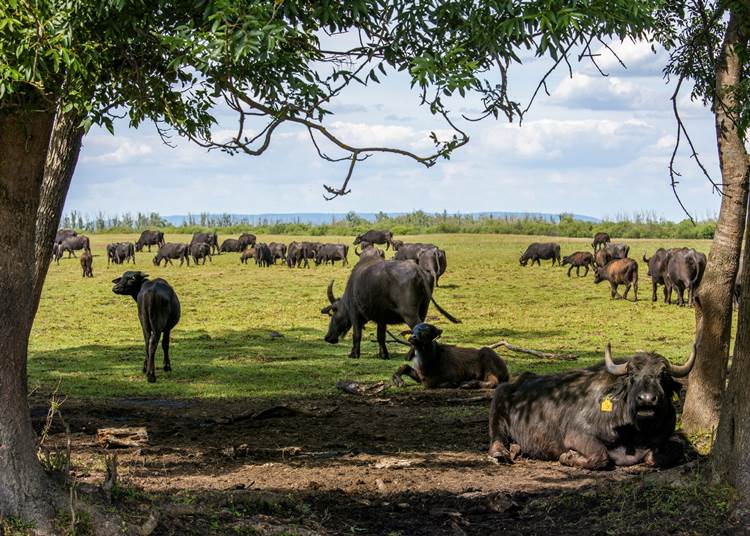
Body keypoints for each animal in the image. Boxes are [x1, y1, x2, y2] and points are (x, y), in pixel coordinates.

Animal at [322, 260, 462, 360]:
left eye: (333, 313)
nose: (327, 337)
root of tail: (417, 269)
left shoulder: (355, 315)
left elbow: (357, 335)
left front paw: (354, 354)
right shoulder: (381, 319)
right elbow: (381, 336)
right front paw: (383, 355)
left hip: (409, 314)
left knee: (418, 329)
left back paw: (409, 356)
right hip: (423, 310)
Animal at [488, 340, 700, 468]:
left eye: (662, 375)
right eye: (632, 375)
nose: (647, 399)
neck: (635, 434)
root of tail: (520, 380)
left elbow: (666, 453)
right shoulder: (577, 434)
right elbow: (600, 455)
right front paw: (568, 457)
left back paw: (515, 449)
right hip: (497, 404)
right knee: (496, 436)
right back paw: (500, 453)